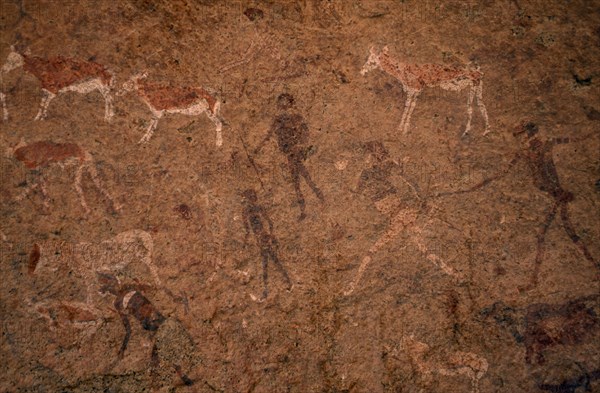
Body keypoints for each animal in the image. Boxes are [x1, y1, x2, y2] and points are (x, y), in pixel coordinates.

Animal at [358, 45, 490, 135]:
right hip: (475, 89)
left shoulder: (415, 90)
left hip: (473, 87)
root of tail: (479, 73)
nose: (362, 71)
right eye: (368, 59)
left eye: (372, 61)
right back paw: (477, 131)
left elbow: (409, 108)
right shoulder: (413, 91)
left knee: (476, 107)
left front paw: (403, 129)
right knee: (477, 107)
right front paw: (402, 128)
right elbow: (408, 107)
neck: (402, 72)